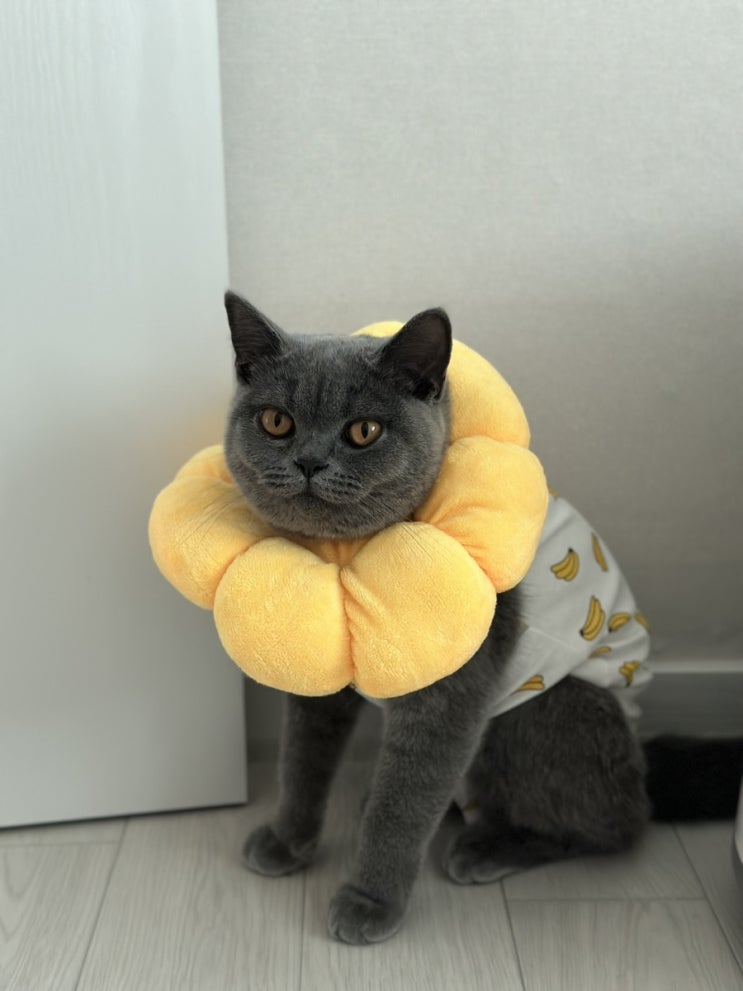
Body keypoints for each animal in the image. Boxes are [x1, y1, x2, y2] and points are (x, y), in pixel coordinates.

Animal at [222, 290, 743, 945]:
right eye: (277, 422)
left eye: (364, 431)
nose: (310, 462)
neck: (348, 558)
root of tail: (645, 760)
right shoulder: (322, 678)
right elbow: (302, 758)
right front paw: (287, 843)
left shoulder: (451, 698)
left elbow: (404, 804)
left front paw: (369, 902)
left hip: (546, 709)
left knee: (617, 824)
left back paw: (488, 847)